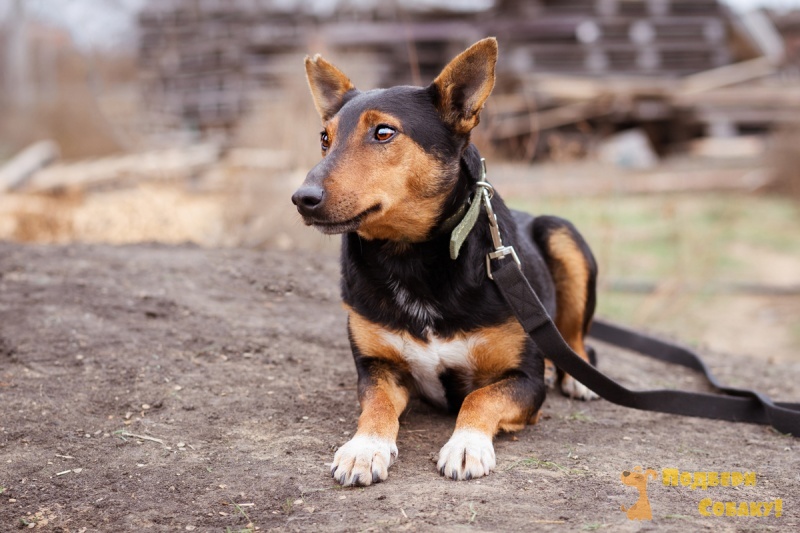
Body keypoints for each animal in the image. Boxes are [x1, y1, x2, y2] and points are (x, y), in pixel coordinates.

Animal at [292, 37, 598, 486]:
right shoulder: (376, 367)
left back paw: (579, 377)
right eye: (324, 138)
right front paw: (365, 448)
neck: (409, 255)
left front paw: (467, 444)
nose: (302, 198)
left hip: (563, 234)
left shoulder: (527, 379)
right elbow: (376, 405)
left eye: (383, 132)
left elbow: (480, 397)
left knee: (576, 338)